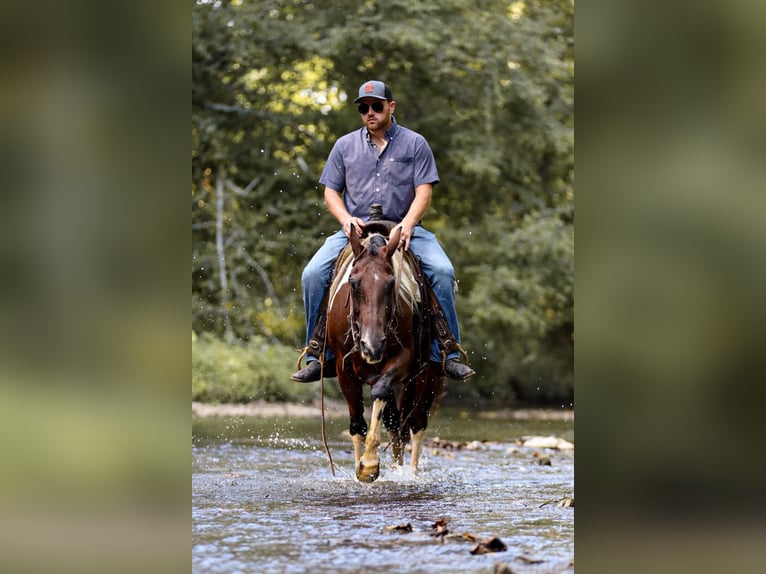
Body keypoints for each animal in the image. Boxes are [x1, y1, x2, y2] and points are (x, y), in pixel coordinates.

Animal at [324, 223, 444, 484]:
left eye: (390, 284)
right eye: (353, 282)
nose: (372, 346)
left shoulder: (403, 360)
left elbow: (380, 393)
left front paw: (369, 463)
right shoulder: (343, 369)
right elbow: (357, 424)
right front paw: (361, 466)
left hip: (428, 376)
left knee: (416, 423)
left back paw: (410, 474)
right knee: (395, 424)